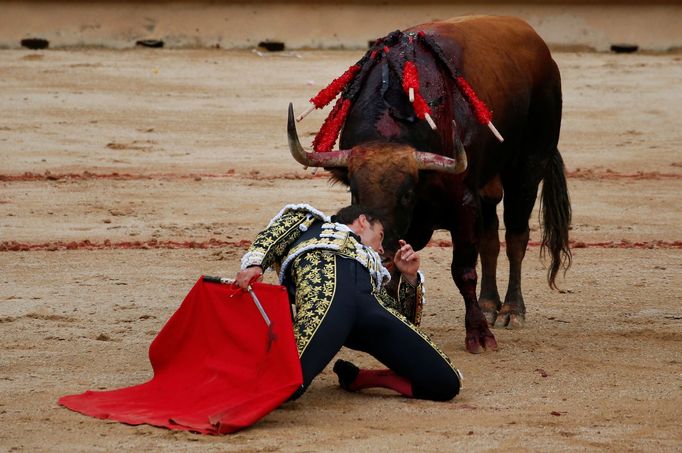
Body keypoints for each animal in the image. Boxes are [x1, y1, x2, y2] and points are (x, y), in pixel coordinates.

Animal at [286, 15, 568, 354]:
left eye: (407, 195)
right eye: (355, 191)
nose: (378, 249)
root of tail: (541, 48)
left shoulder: (464, 204)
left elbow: (463, 271)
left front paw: (479, 334)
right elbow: (397, 273)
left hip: (529, 165)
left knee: (516, 236)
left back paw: (512, 311)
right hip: (489, 184)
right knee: (490, 238)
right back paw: (490, 304)